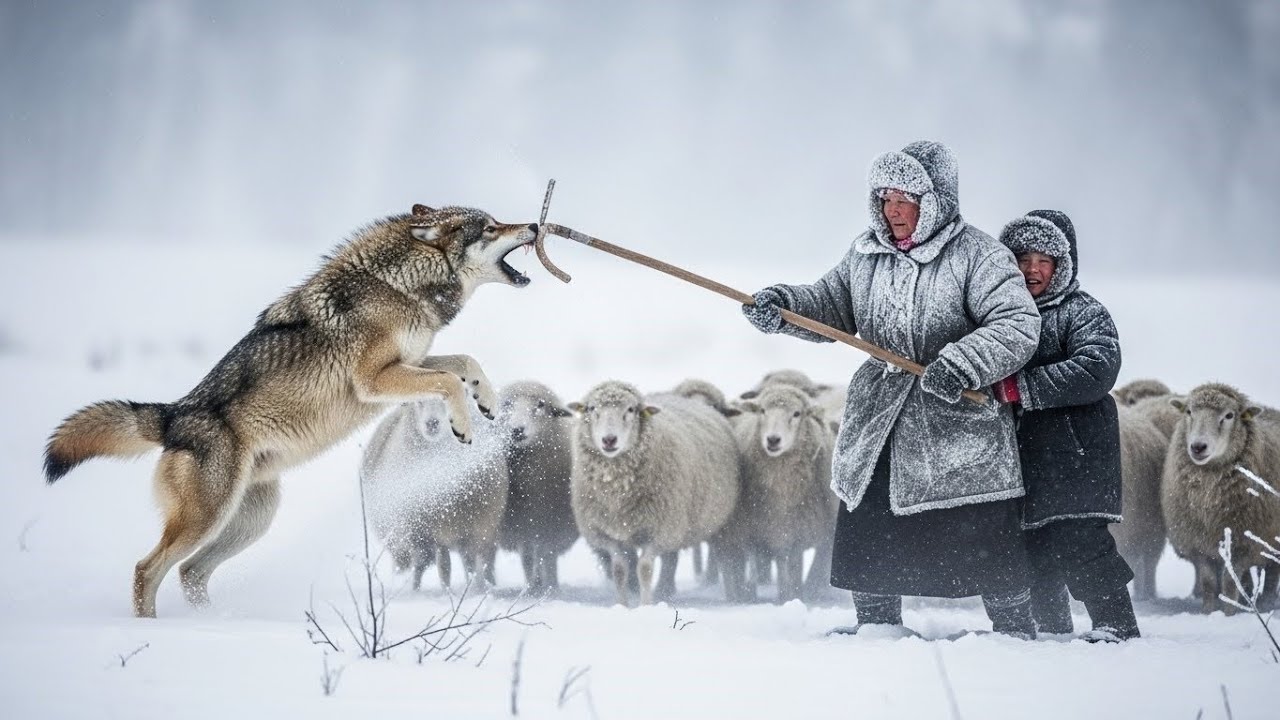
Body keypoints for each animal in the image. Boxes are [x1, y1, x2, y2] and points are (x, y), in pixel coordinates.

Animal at [361, 396, 509, 591]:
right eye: (418, 401)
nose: (432, 423)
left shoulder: (475, 529)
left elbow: (473, 565)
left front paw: (476, 589)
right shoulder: (434, 533)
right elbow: (444, 568)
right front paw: (448, 592)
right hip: (407, 538)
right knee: (415, 565)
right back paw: (410, 589)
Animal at [495, 381, 579, 594]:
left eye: (541, 405)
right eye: (507, 404)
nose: (517, 429)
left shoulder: (548, 524)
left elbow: (546, 557)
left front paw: (551, 589)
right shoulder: (524, 526)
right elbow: (529, 558)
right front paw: (533, 589)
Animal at [568, 380, 741, 606]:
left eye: (631, 410)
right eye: (591, 408)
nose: (609, 440)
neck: (617, 489)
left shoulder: (659, 530)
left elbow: (645, 569)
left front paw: (646, 605)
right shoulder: (607, 533)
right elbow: (619, 570)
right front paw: (622, 606)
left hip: (697, 523)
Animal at [728, 384, 839, 603]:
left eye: (797, 413)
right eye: (762, 411)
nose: (773, 439)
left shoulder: (798, 529)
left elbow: (792, 564)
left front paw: (792, 596)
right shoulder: (754, 528)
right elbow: (765, 561)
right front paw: (757, 596)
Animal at [1161, 383, 1280, 612]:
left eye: (1229, 415)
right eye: (1189, 412)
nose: (1198, 447)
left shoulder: (1243, 544)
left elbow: (1229, 582)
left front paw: (1229, 614)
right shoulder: (1199, 543)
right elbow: (1208, 583)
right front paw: (1209, 612)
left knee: (1272, 575)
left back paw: (1266, 604)